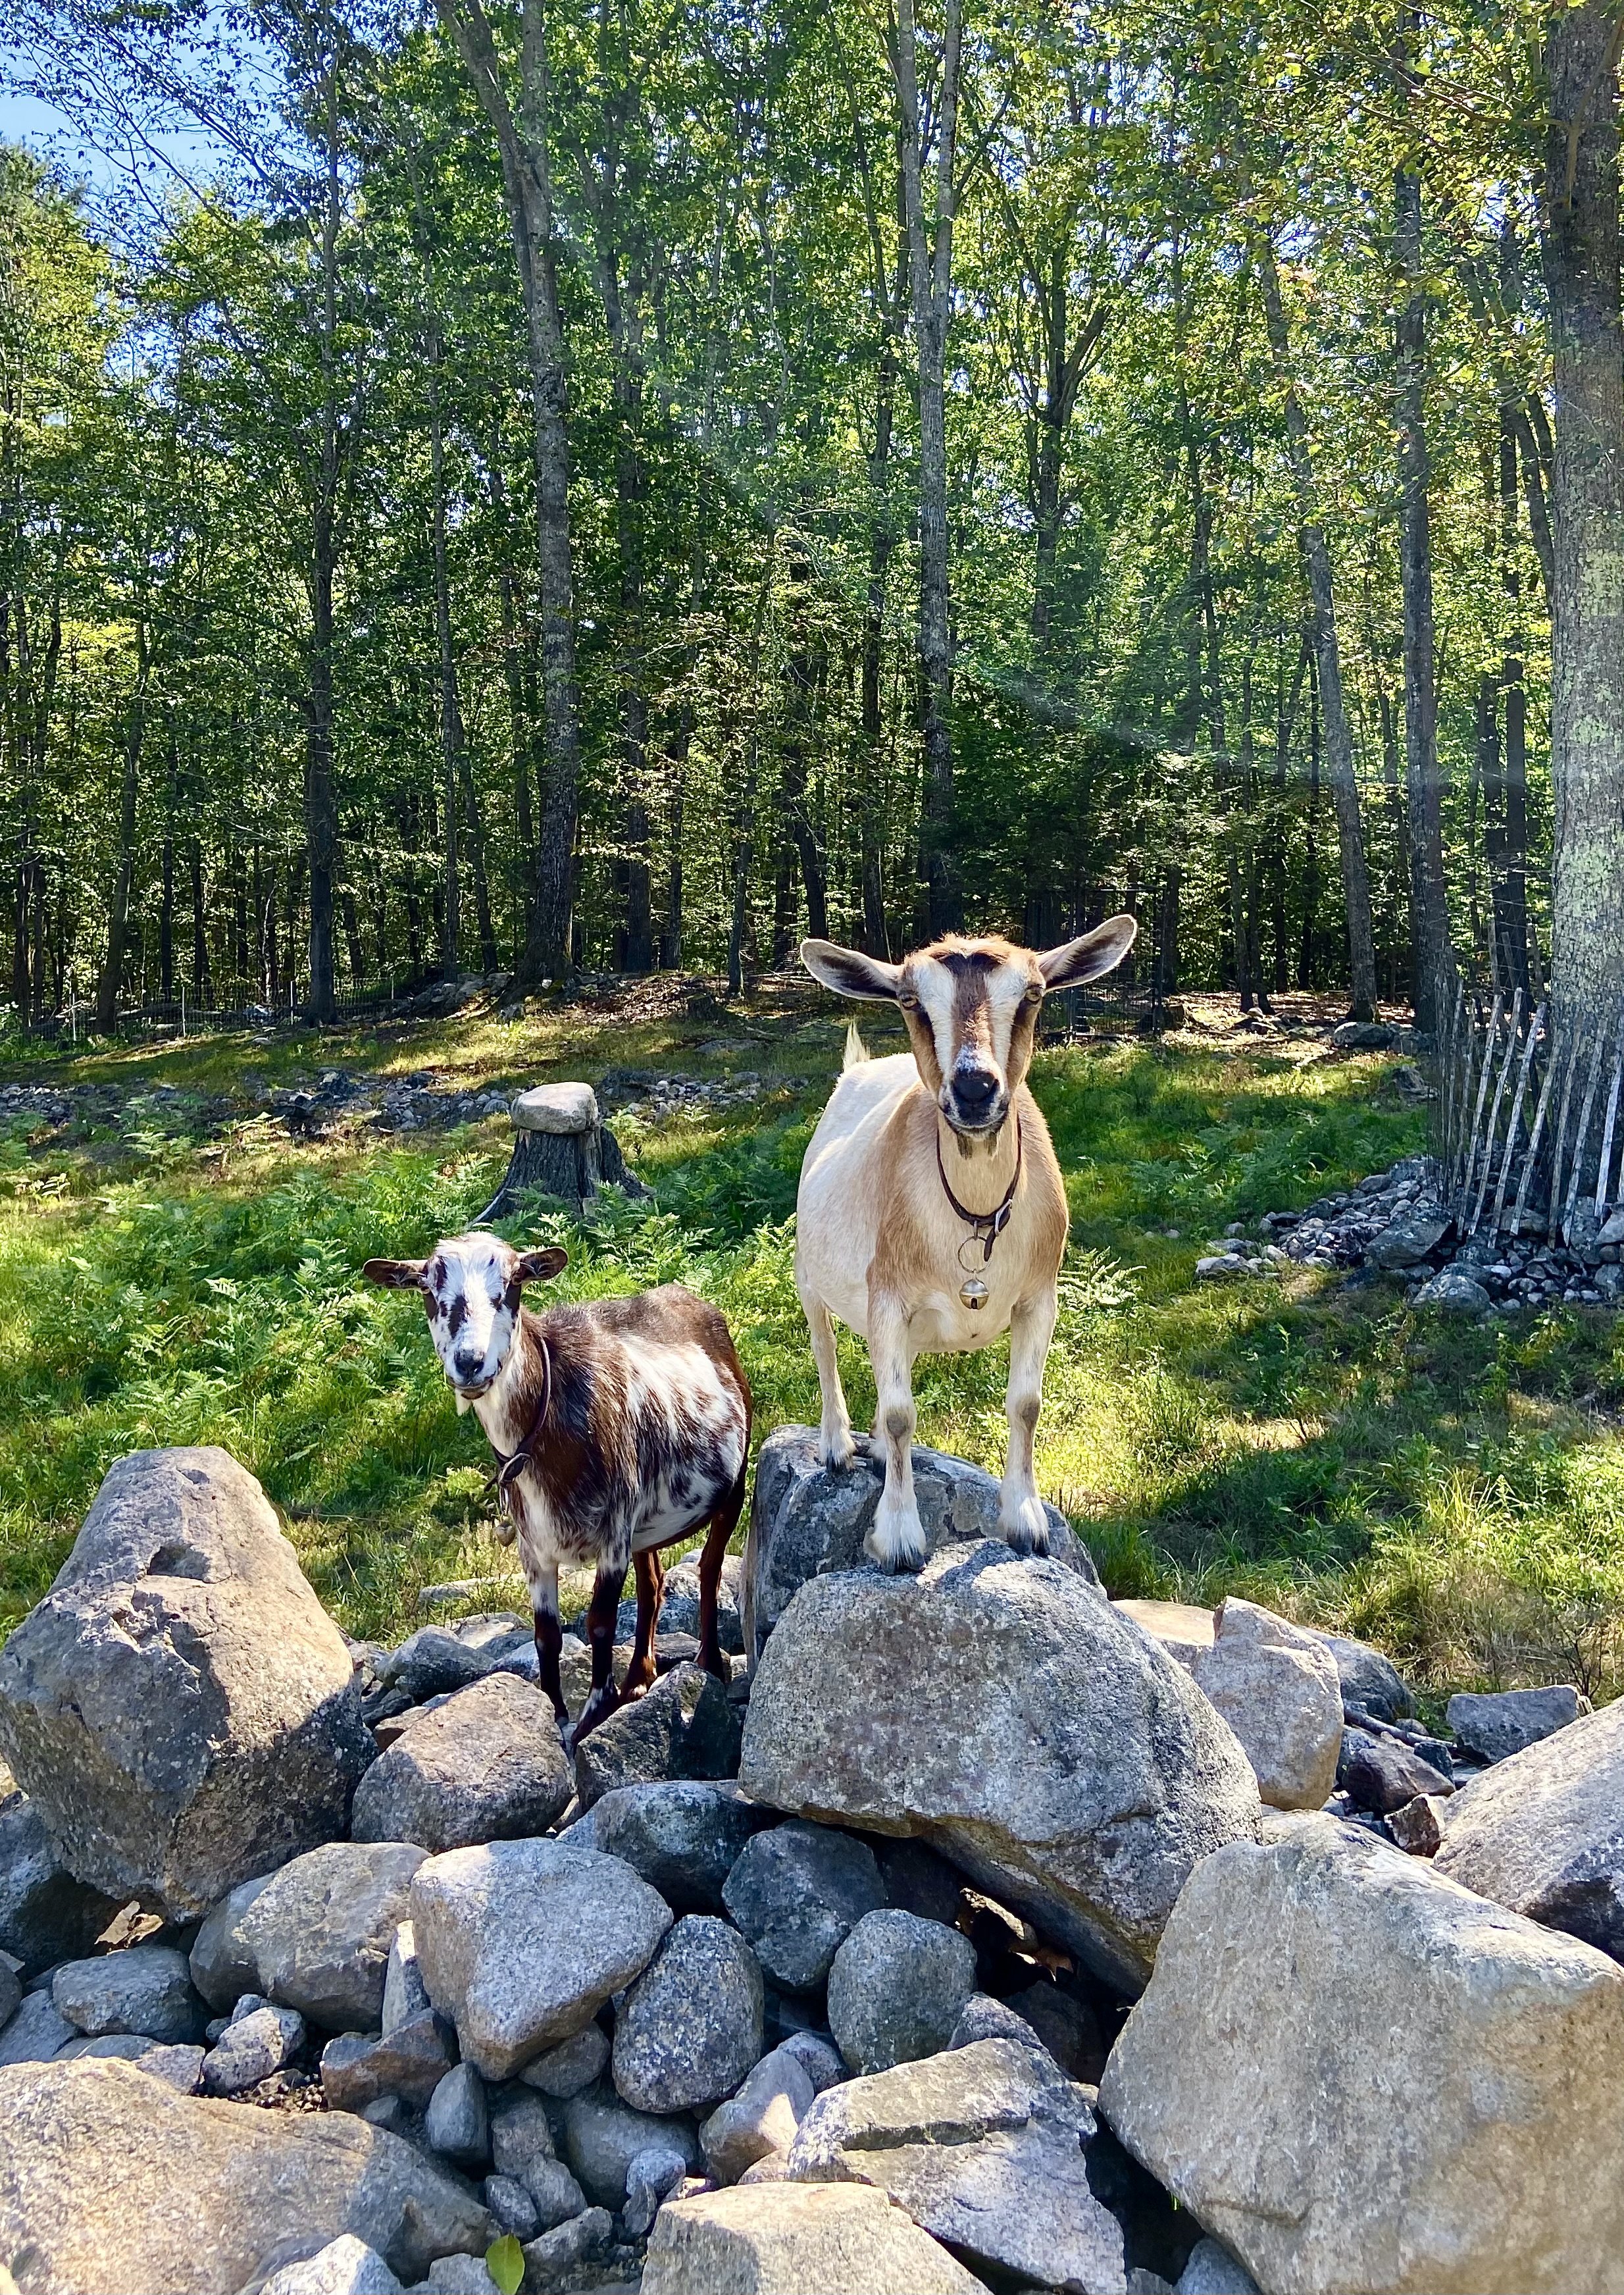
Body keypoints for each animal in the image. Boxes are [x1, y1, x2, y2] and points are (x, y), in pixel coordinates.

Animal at [362, 1237, 750, 1742]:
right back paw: (638, 1679)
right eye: (428, 1288)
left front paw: (593, 1714)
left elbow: (600, 1622)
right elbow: (546, 1635)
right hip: (645, 1523)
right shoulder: (535, 1548)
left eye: (512, 1285)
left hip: (734, 1482)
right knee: (653, 1583)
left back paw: (707, 1664)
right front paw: (555, 1714)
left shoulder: (613, 1535)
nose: (469, 1362)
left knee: (709, 1568)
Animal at [795, 921, 1135, 1569]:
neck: (974, 1212)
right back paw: (836, 1445)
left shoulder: (1040, 1297)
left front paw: (1025, 1522)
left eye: (1033, 993)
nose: (975, 1088)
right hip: (807, 1267)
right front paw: (899, 1537)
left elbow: (1025, 1403)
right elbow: (901, 1414)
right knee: (825, 1346)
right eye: (909, 1000)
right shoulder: (887, 1295)